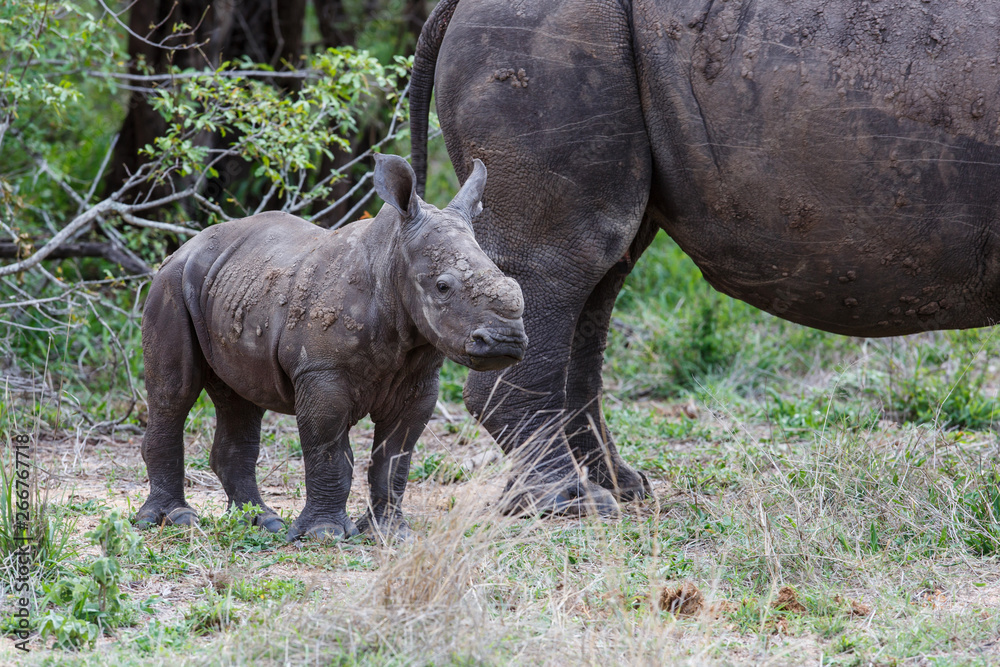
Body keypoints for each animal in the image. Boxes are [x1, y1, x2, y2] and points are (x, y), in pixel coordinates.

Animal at [136, 154, 527, 541]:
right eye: (443, 287)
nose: (505, 341)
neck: (392, 259)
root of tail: (189, 245)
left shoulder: (420, 379)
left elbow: (395, 457)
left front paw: (391, 533)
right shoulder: (322, 371)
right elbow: (328, 450)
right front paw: (324, 534)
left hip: (232, 284)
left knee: (241, 399)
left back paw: (262, 521)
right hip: (171, 282)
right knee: (174, 393)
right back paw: (174, 519)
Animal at [410, 0, 1000, 516]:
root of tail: (457, 5)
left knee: (595, 278)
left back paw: (621, 488)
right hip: (537, 41)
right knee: (560, 263)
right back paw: (570, 505)